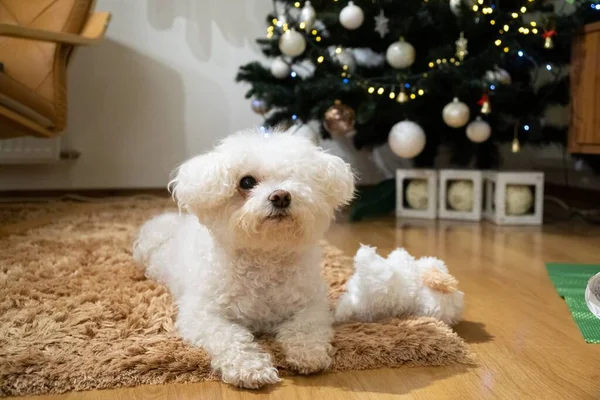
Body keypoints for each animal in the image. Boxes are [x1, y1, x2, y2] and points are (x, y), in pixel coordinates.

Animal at [134, 130, 354, 390]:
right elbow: (230, 337)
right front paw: (250, 368)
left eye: (296, 177)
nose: (281, 196)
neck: (264, 256)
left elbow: (307, 328)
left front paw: (308, 353)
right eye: (246, 182)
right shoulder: (203, 315)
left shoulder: (312, 305)